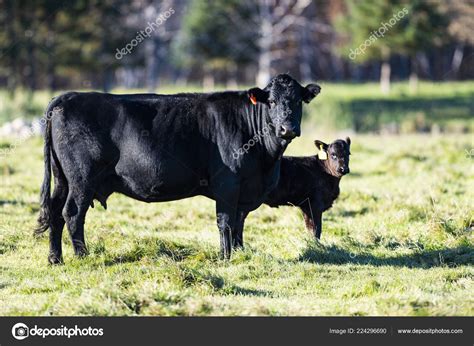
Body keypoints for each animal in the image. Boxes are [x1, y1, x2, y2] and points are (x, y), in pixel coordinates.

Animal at [35, 73, 320, 262]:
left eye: (298, 101)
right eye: (271, 102)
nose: (287, 128)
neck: (266, 163)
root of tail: (67, 96)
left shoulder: (245, 192)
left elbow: (239, 223)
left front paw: (240, 254)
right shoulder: (228, 185)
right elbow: (226, 222)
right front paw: (225, 258)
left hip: (63, 179)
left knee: (55, 212)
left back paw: (55, 259)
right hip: (82, 178)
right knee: (72, 213)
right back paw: (83, 256)